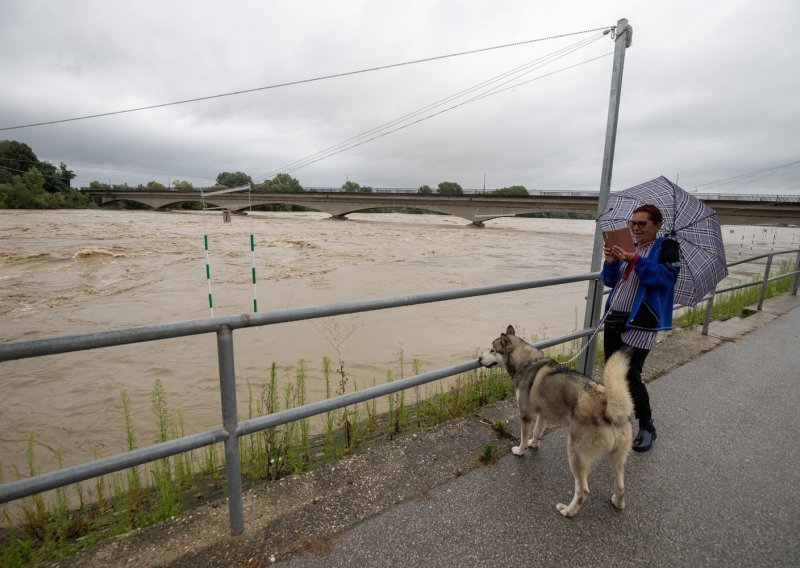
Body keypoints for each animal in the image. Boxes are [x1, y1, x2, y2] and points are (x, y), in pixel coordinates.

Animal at [478, 326, 636, 516]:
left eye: (492, 350)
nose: (478, 359)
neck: (527, 363)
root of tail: (610, 409)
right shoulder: (542, 414)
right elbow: (537, 432)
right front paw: (533, 444)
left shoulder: (526, 415)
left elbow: (523, 437)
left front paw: (521, 450)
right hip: (618, 459)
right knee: (621, 486)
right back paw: (618, 503)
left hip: (575, 453)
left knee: (583, 491)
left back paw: (568, 511)